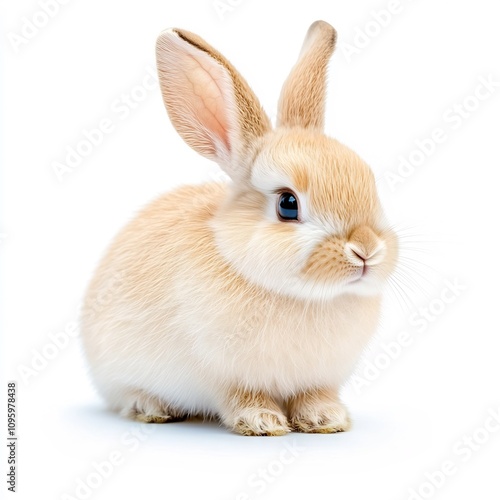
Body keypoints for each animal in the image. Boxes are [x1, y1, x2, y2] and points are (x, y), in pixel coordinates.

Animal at [81, 20, 398, 434]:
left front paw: (326, 418)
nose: (366, 249)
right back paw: (152, 407)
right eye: (287, 204)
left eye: (370, 185)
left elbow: (313, 395)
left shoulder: (318, 379)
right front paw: (263, 422)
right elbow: (241, 397)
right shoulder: (224, 376)